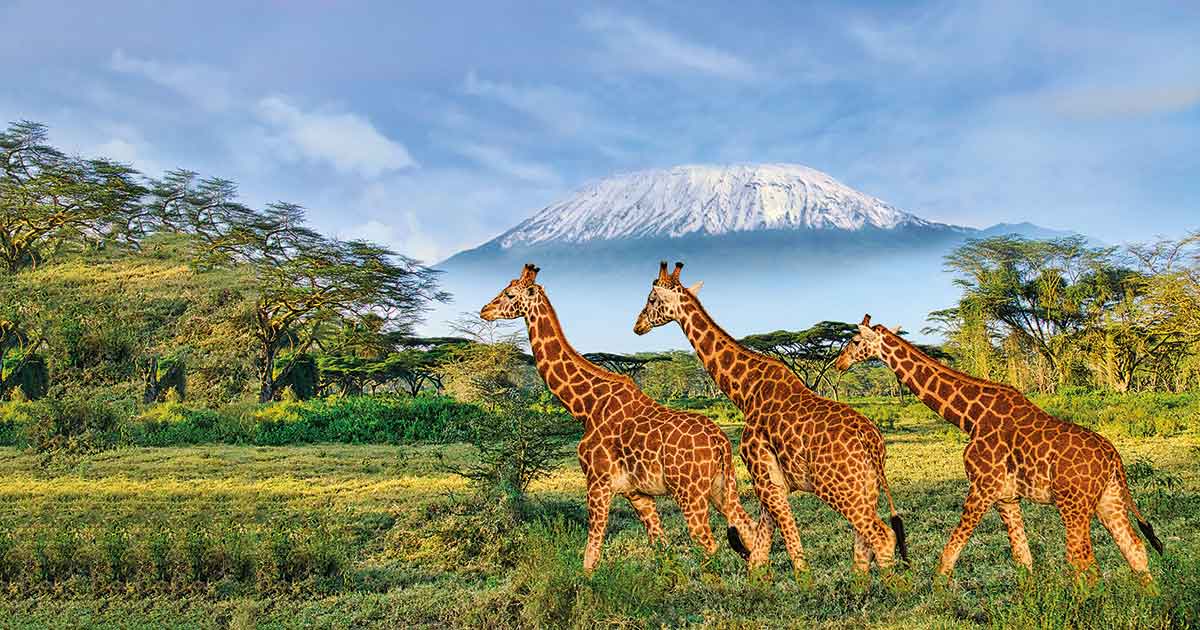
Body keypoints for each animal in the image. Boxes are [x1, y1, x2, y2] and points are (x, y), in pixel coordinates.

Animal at [480, 264, 757, 573]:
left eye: (509, 294)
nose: (484, 310)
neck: (586, 406)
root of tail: (721, 443)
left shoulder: (598, 482)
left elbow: (591, 555)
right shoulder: (637, 494)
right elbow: (661, 548)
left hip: (690, 493)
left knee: (709, 544)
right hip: (723, 486)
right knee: (749, 528)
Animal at [633, 262, 908, 580]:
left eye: (652, 298)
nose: (637, 325)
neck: (745, 391)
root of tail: (872, 442)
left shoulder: (764, 476)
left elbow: (791, 551)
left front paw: (804, 585)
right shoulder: (770, 479)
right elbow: (759, 553)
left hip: (837, 486)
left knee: (882, 537)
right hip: (866, 484)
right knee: (864, 542)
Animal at [834, 315, 1164, 585]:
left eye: (855, 341)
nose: (839, 364)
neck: (970, 418)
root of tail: (1114, 458)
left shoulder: (982, 487)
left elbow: (950, 552)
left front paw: (938, 596)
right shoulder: (1006, 496)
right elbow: (1023, 558)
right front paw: (1029, 603)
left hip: (1074, 503)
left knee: (1083, 560)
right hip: (1108, 498)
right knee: (1134, 548)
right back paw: (1151, 599)